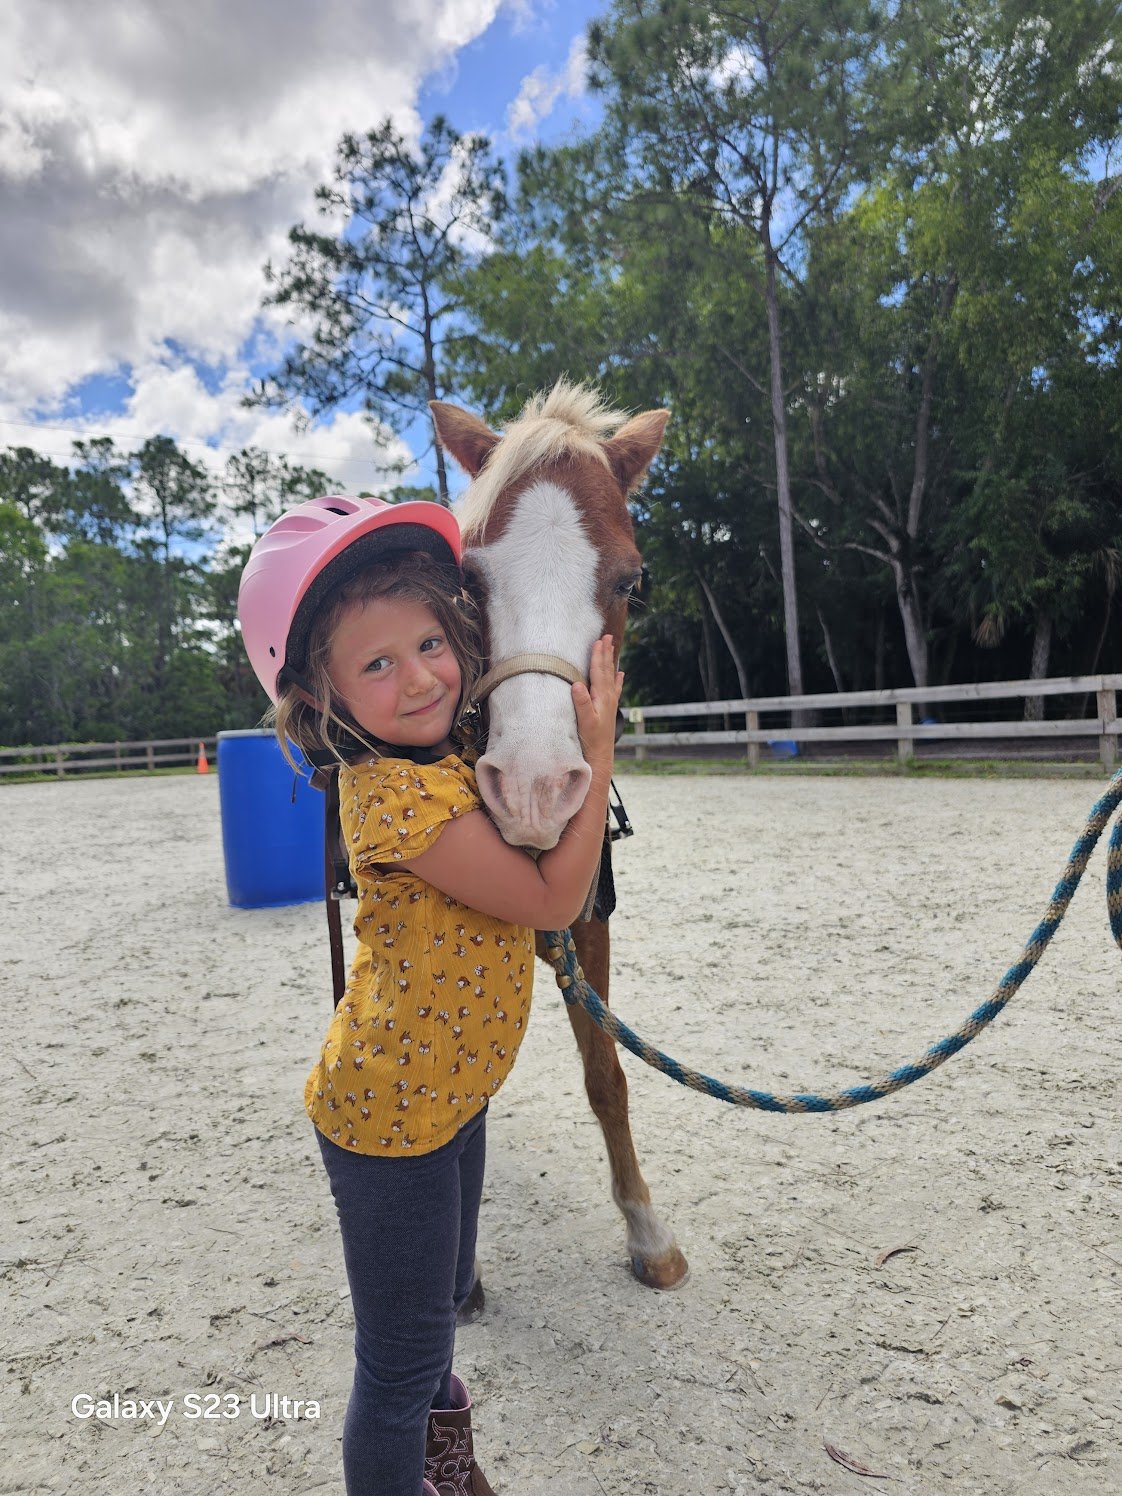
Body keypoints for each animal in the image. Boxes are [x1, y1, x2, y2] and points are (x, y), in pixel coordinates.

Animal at [429, 382, 690, 1294]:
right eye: (466, 575)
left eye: (634, 582)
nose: (535, 790)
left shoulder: (588, 918)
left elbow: (607, 1073)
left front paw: (647, 1232)